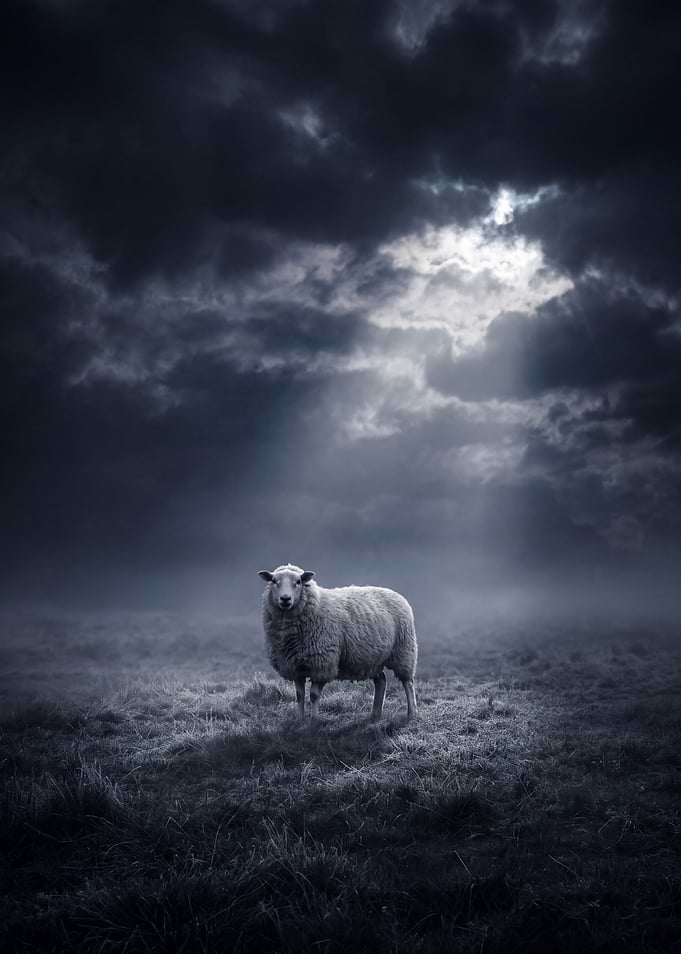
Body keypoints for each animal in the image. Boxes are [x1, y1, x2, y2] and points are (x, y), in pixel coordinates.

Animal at [257, 564, 418, 721]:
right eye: (274, 581)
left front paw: (314, 721)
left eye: (298, 582)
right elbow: (299, 696)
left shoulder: (322, 664)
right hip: (371, 659)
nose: (285, 599)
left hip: (404, 651)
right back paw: (375, 714)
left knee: (408, 683)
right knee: (381, 681)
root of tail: (394, 593)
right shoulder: (295, 666)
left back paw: (412, 713)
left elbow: (314, 695)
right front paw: (300, 720)